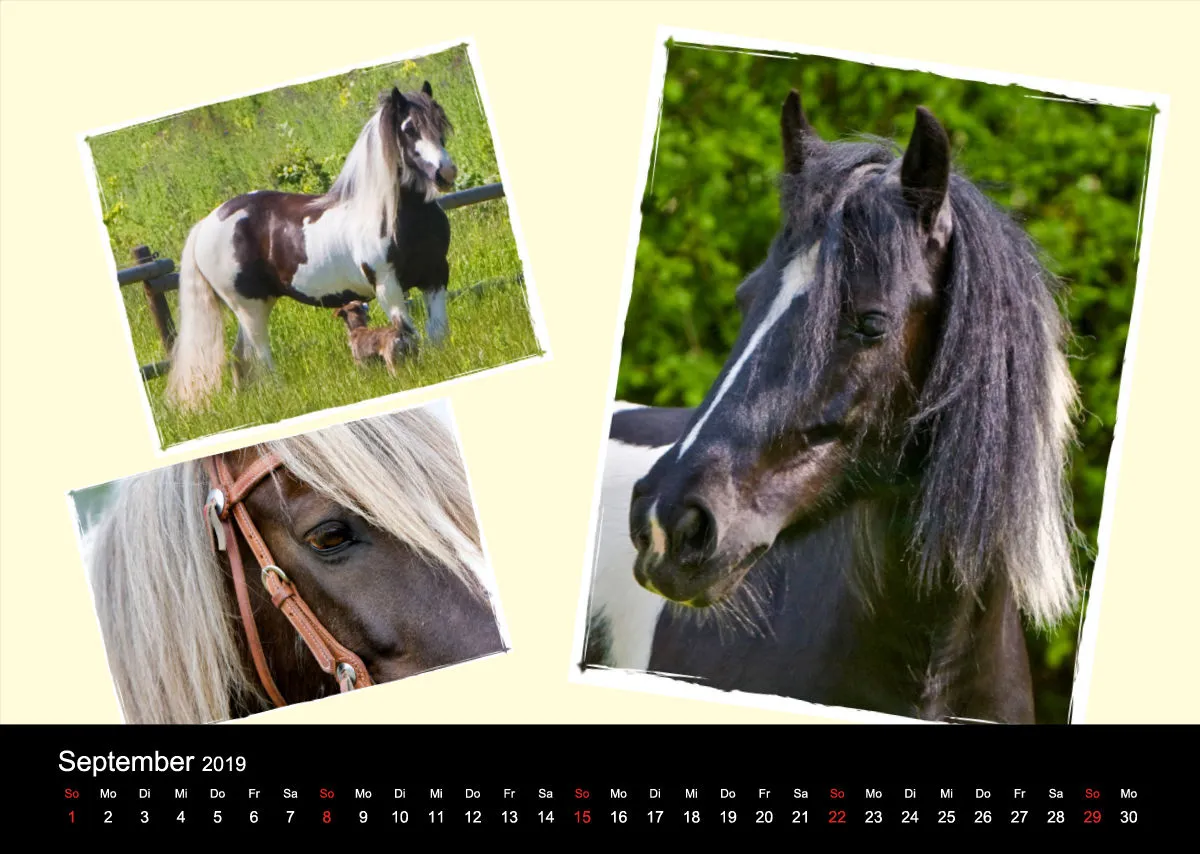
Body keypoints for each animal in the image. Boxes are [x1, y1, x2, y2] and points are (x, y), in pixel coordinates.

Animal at [166, 81, 458, 409]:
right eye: (409, 128)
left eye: (440, 120)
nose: (445, 173)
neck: (397, 214)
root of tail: (206, 223)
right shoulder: (388, 286)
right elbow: (405, 333)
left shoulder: (436, 275)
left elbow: (437, 332)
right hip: (249, 307)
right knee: (260, 356)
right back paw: (280, 396)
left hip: (255, 304)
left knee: (239, 357)